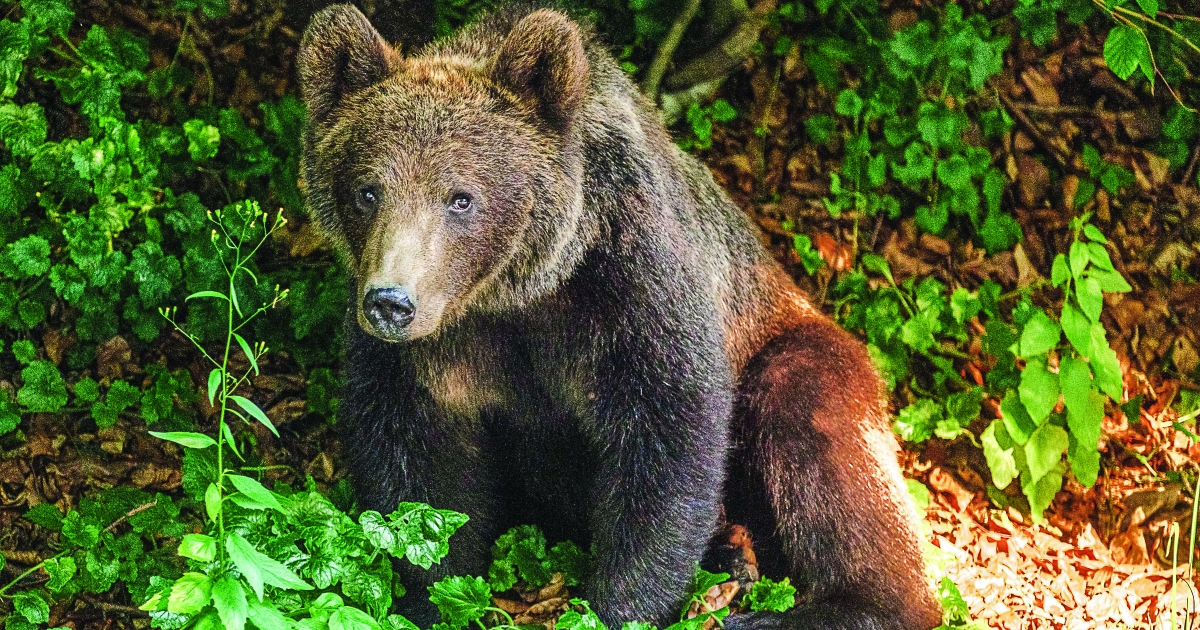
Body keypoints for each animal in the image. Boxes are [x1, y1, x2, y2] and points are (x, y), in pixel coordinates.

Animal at [295, 6, 940, 628]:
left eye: (461, 197)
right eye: (367, 190)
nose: (392, 301)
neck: (517, 292)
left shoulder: (631, 286)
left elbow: (668, 439)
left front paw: (614, 607)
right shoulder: (431, 353)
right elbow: (418, 476)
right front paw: (428, 598)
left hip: (794, 342)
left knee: (816, 426)